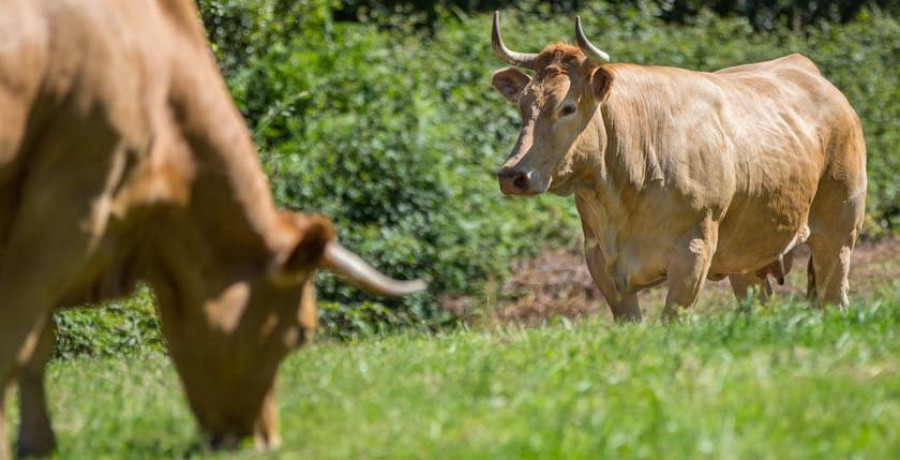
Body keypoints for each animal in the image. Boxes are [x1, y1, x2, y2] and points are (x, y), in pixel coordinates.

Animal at [0, 0, 426, 456]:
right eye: (300, 334)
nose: (264, 440)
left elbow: (35, 343)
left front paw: (37, 441)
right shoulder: (72, 201)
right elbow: (18, 340)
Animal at [488, 10, 868, 320]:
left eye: (567, 107)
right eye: (523, 104)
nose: (513, 174)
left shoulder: (693, 253)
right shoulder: (600, 261)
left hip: (839, 231)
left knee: (835, 296)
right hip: (748, 254)